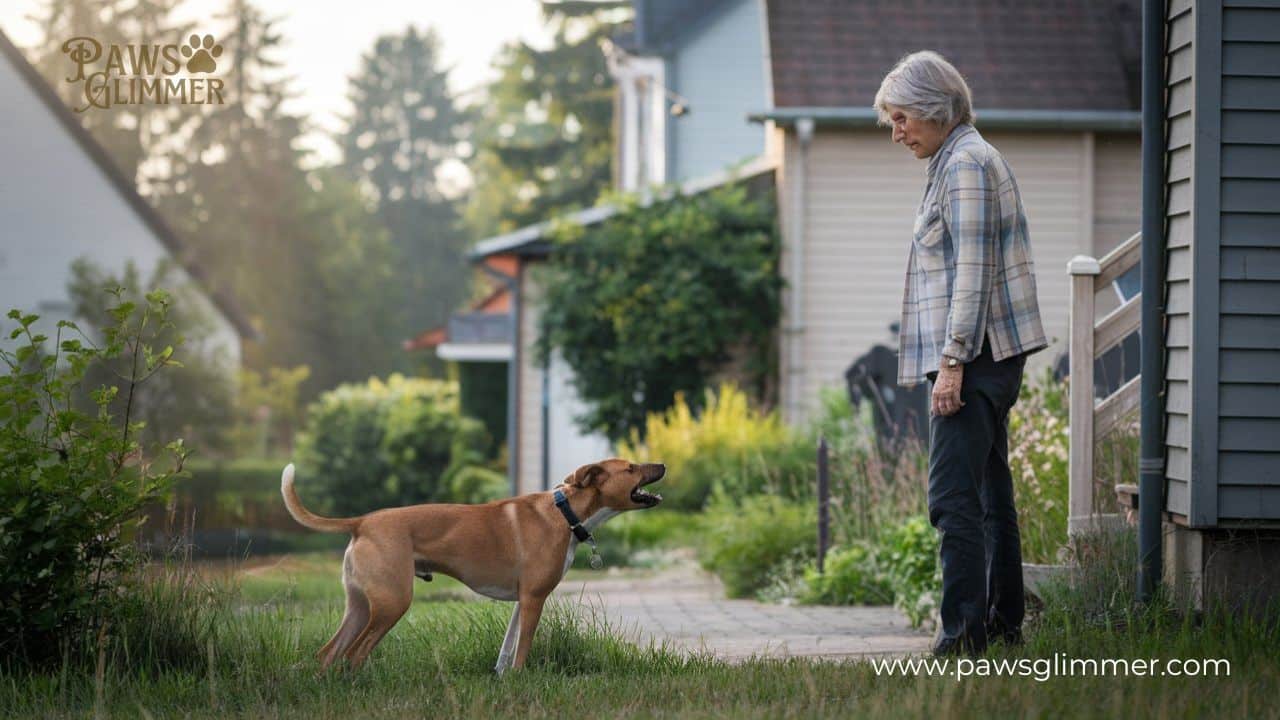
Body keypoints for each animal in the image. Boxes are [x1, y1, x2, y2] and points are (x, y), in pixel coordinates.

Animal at [276, 456, 665, 671]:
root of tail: (363, 522)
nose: (663, 465)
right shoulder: (534, 600)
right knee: (354, 655)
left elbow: (507, 652)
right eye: (631, 468)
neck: (565, 511)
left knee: (329, 654)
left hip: (360, 606)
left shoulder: (522, 602)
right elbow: (523, 650)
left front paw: (505, 679)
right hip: (391, 603)